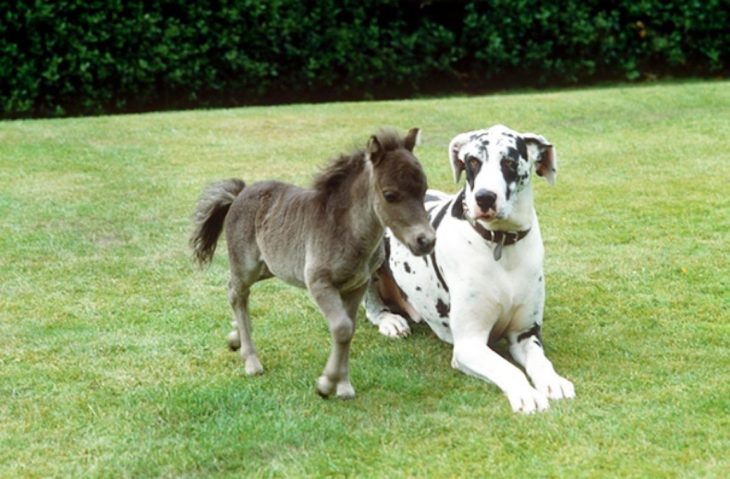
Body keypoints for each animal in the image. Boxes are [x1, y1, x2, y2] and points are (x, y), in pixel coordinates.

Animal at [191, 127, 436, 398]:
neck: (347, 231)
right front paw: (327, 384)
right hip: (247, 265)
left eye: (424, 189)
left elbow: (348, 330)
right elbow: (341, 328)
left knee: (235, 291)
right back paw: (251, 360)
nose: (426, 240)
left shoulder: (357, 286)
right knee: (237, 293)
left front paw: (343, 386)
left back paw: (236, 337)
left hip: (270, 266)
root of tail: (239, 194)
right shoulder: (319, 283)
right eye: (389, 195)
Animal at [364, 125, 576, 414]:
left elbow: (540, 361)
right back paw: (389, 320)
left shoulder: (525, 333)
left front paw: (553, 381)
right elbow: (508, 369)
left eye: (510, 162)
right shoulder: (469, 345)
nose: (485, 197)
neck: (500, 245)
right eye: (473, 161)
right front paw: (525, 393)